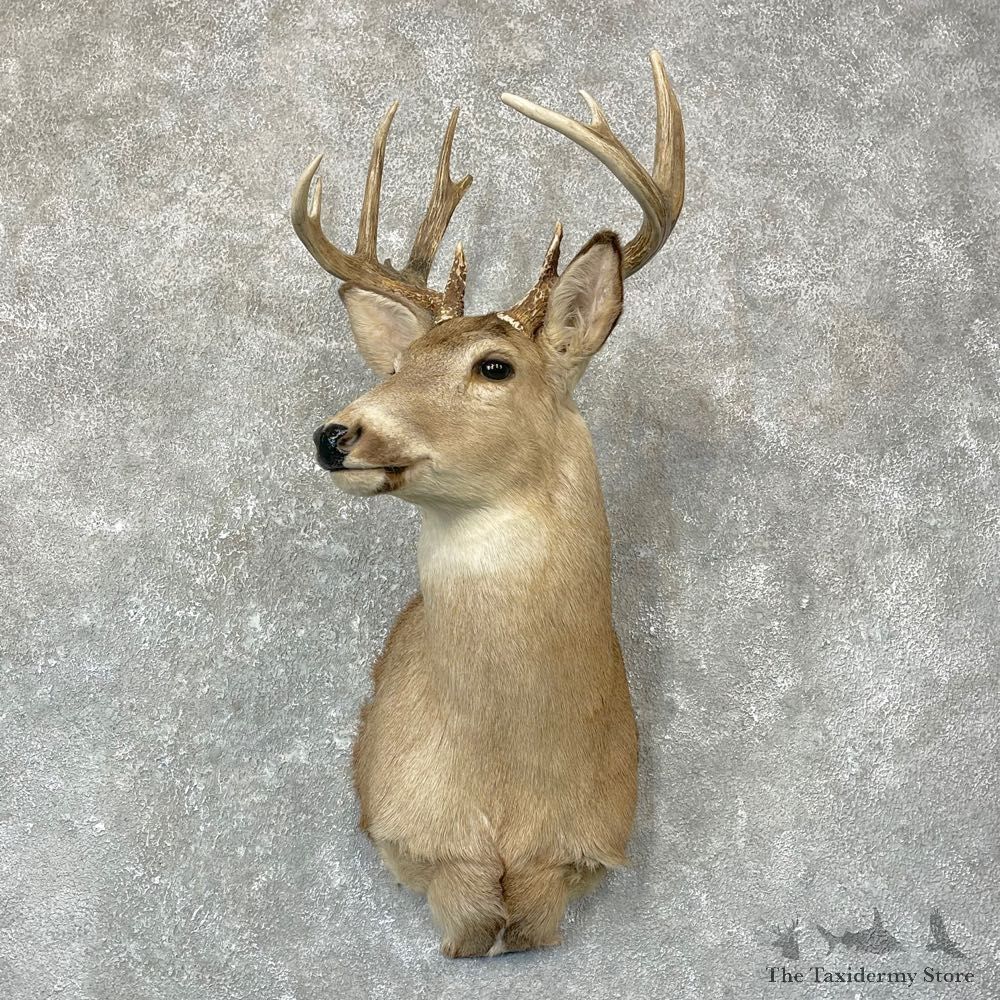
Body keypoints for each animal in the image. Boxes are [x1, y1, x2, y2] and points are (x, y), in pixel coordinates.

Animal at [291, 50, 684, 958]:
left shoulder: (581, 848)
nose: (336, 434)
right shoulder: (414, 837)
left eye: (494, 366)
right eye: (400, 366)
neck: (501, 786)